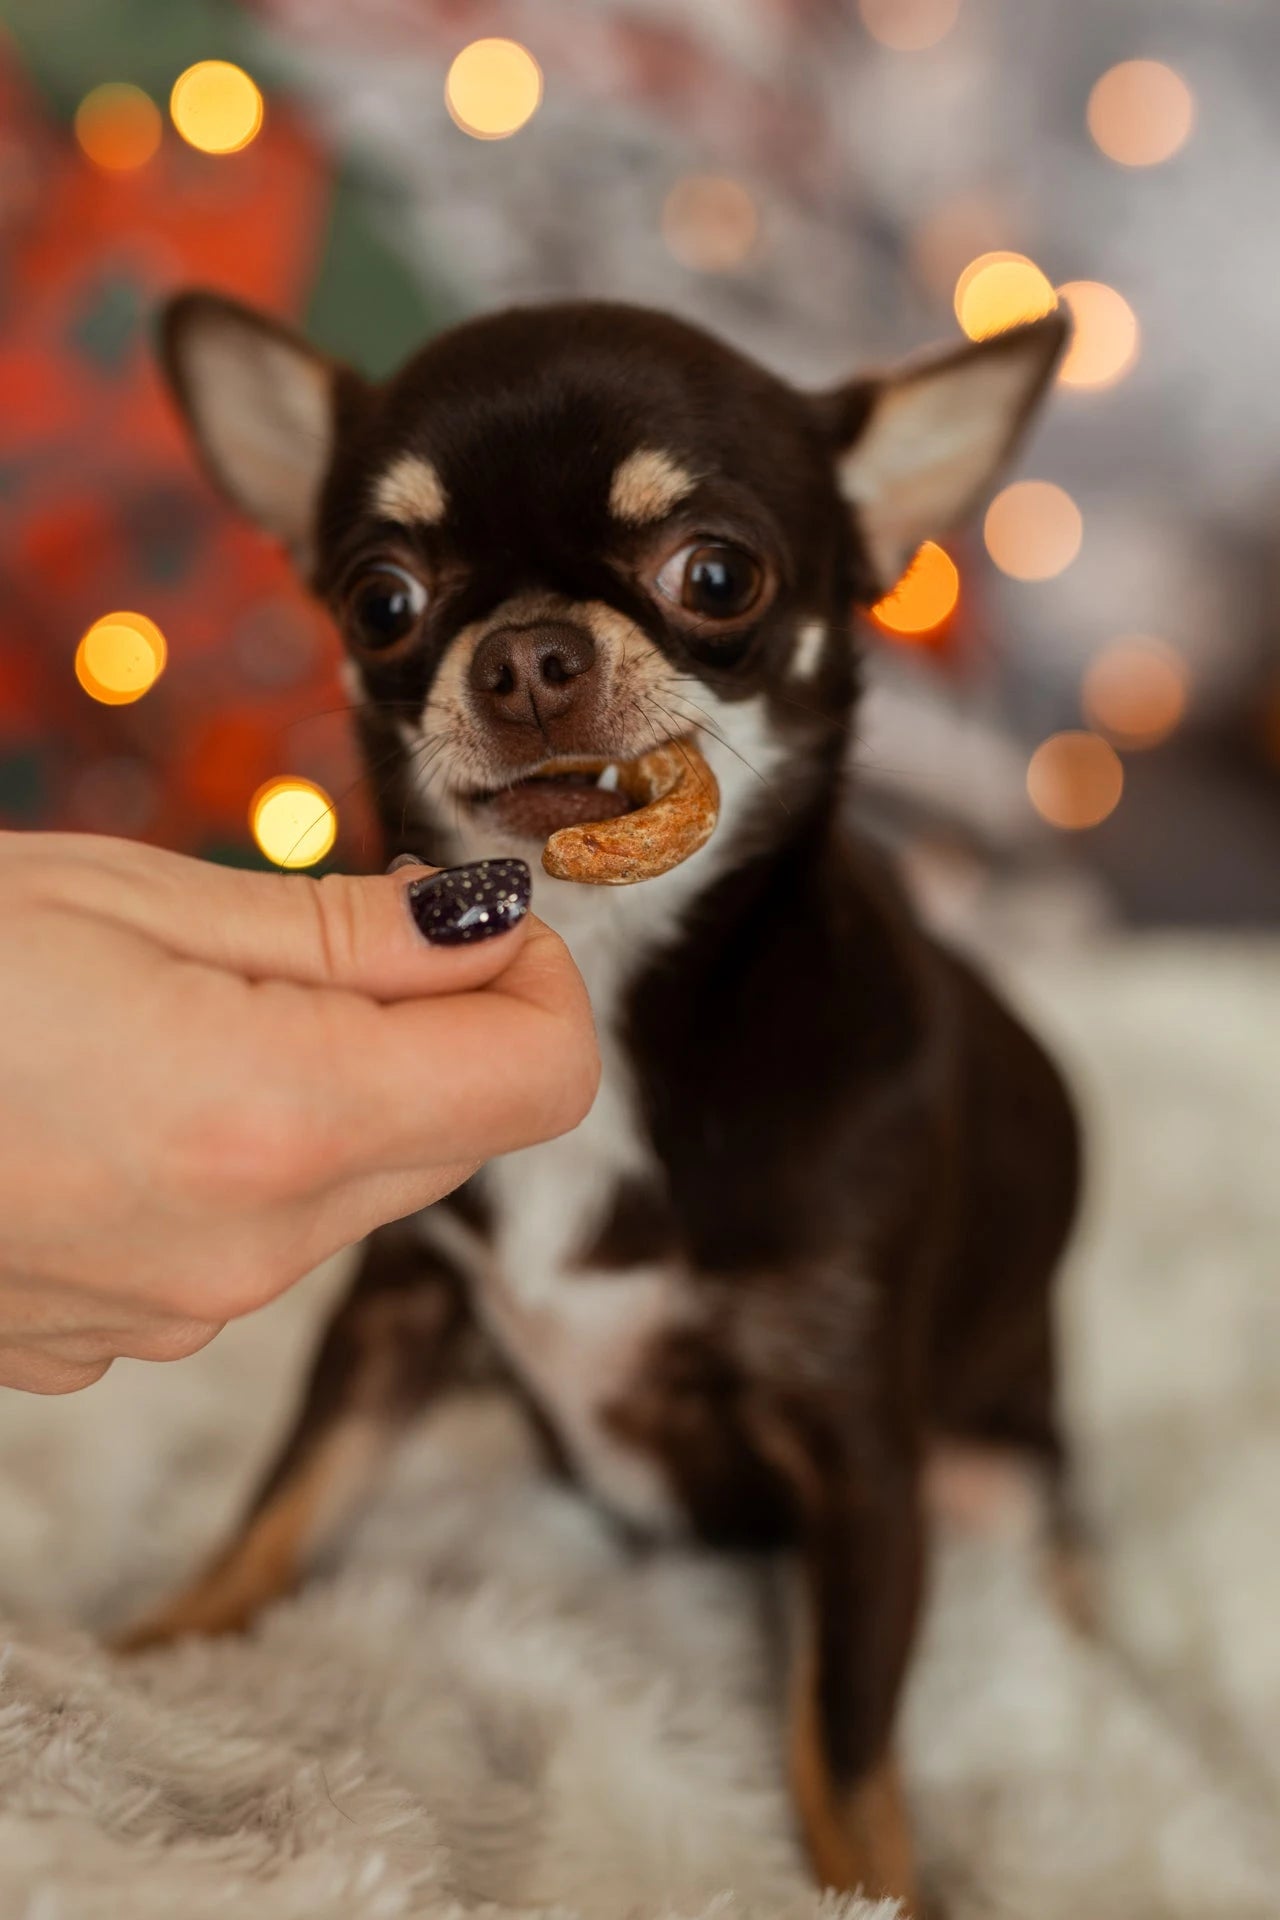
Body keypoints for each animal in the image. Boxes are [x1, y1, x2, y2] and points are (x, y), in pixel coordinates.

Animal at [122, 291, 1082, 1912]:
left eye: (717, 574)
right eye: (379, 601)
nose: (524, 655)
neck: (611, 975)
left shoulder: (859, 1459)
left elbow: (847, 1735)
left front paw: (882, 1887)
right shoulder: (396, 1312)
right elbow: (288, 1495)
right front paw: (152, 1647)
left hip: (1003, 1481)